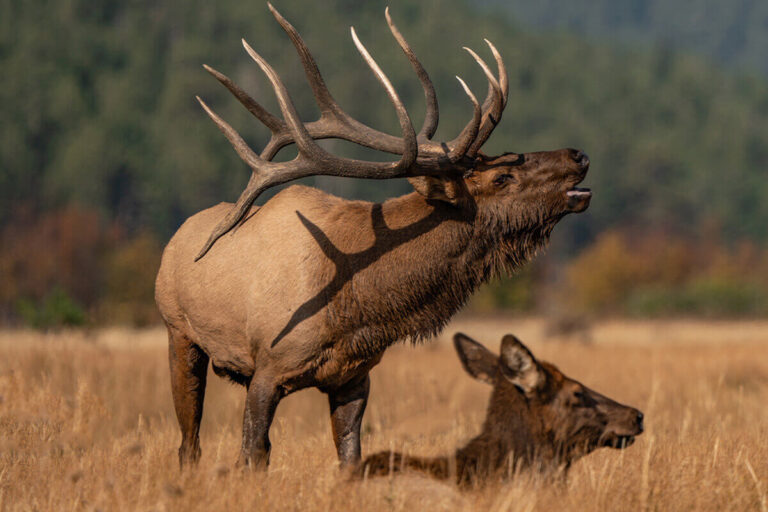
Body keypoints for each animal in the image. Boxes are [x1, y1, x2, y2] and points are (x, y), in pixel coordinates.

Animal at [155, 4, 593, 471]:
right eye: (503, 177)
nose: (579, 155)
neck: (358, 307)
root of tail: (172, 243)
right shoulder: (267, 368)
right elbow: (252, 454)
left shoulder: (354, 377)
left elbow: (351, 458)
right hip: (178, 332)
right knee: (188, 442)